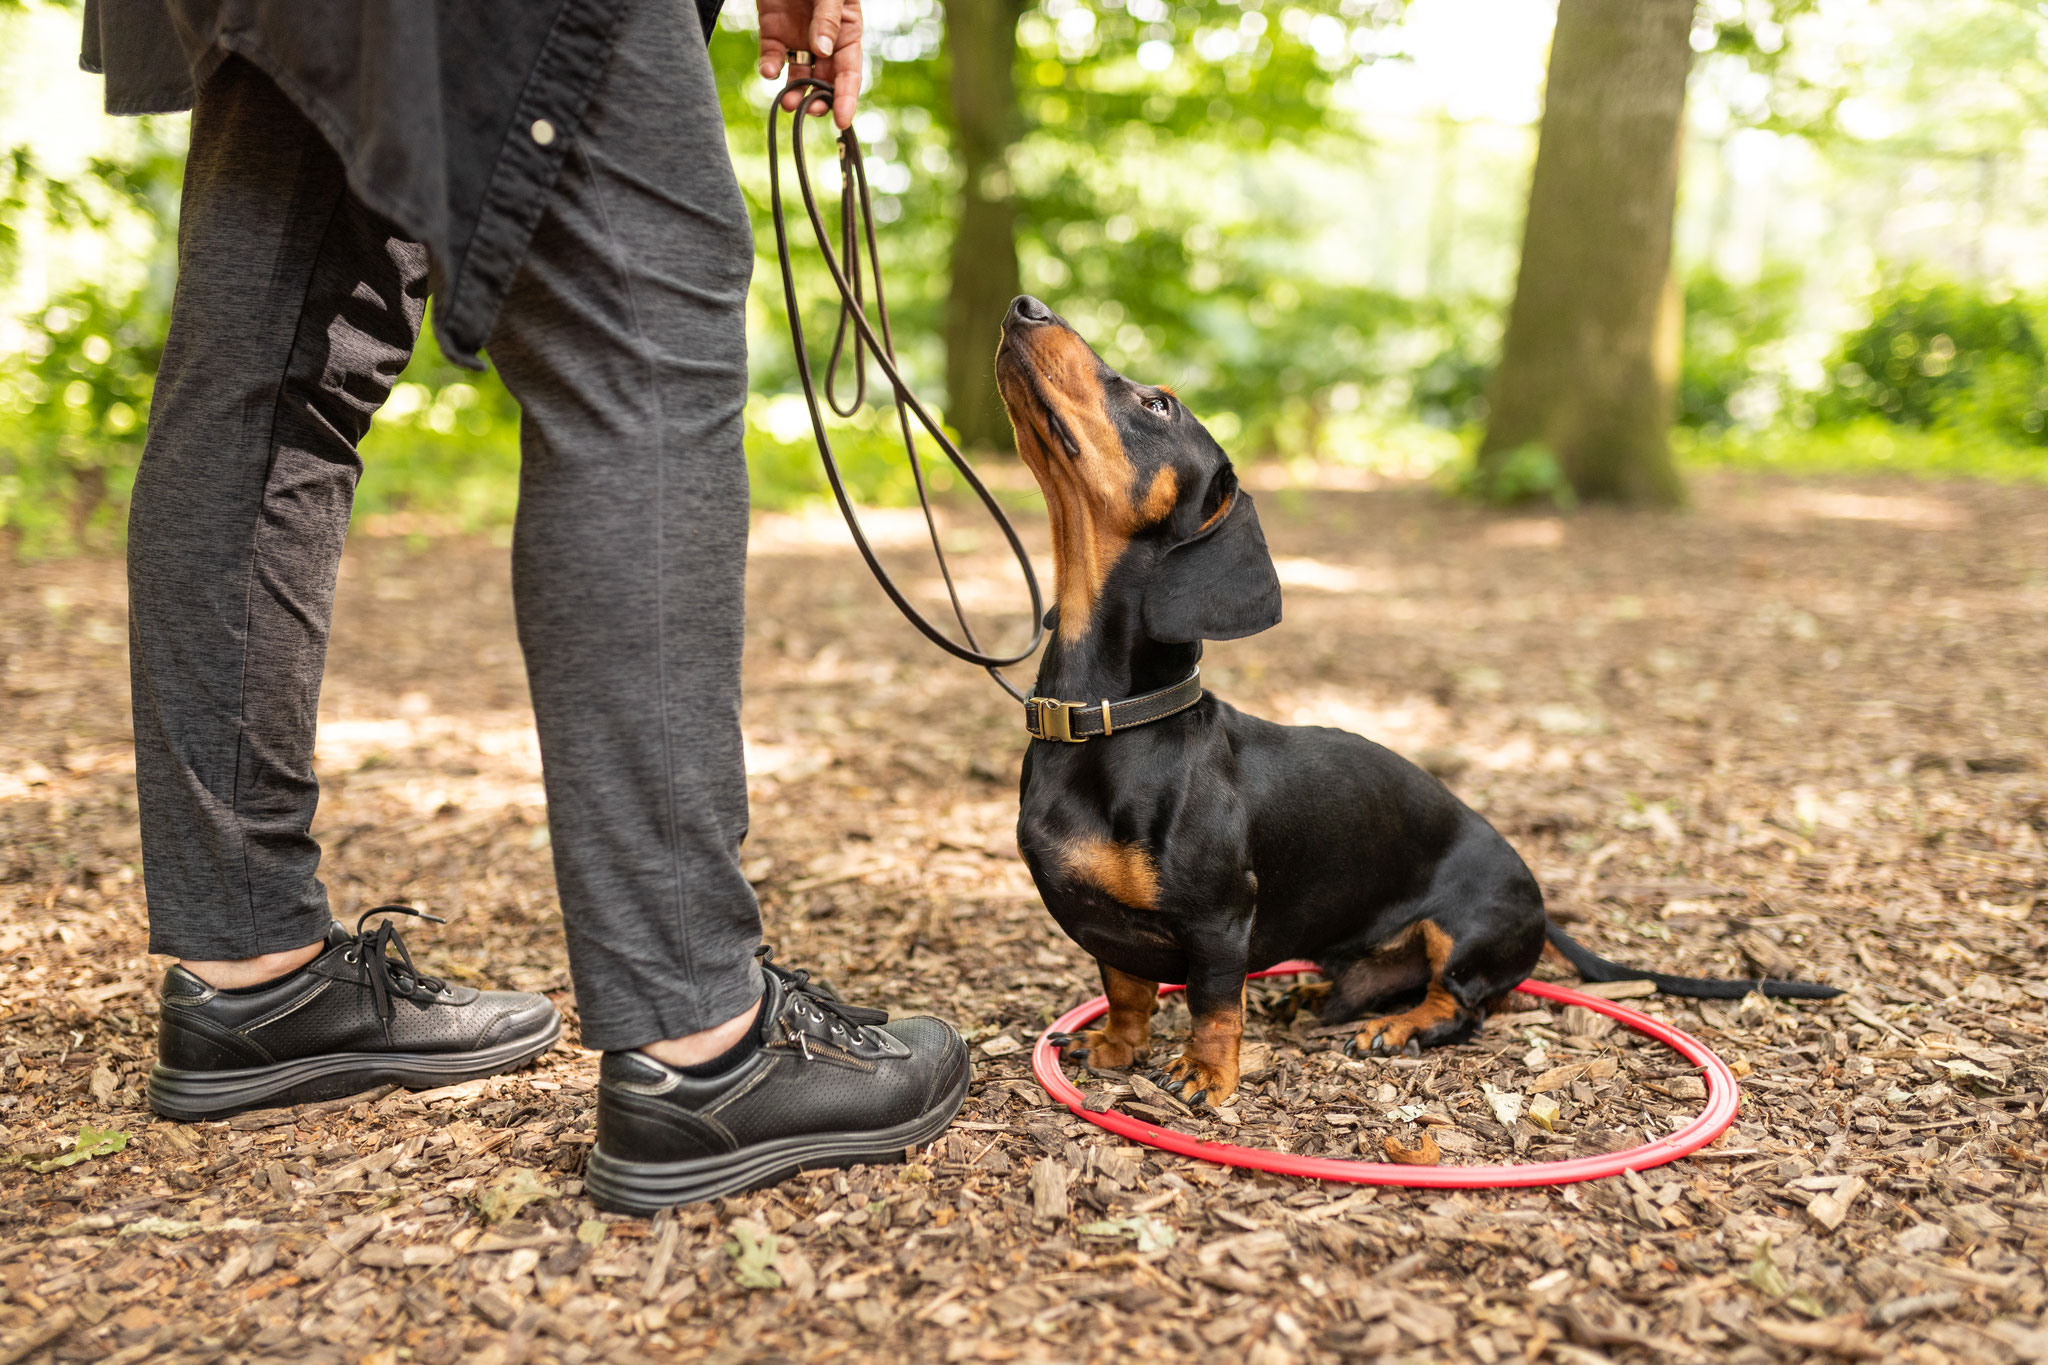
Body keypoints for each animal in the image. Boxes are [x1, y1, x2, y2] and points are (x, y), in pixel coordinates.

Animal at [995, 296, 1843, 1113]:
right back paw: (1310, 996)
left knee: (1462, 1004)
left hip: (1465, 931)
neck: (1111, 721)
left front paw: (1207, 1073)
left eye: (1160, 403)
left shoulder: (1218, 919)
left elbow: (1212, 1003)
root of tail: (1537, 894)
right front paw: (1117, 1047)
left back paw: (1399, 1026)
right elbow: (1126, 989)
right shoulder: (1110, 933)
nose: (1025, 305)